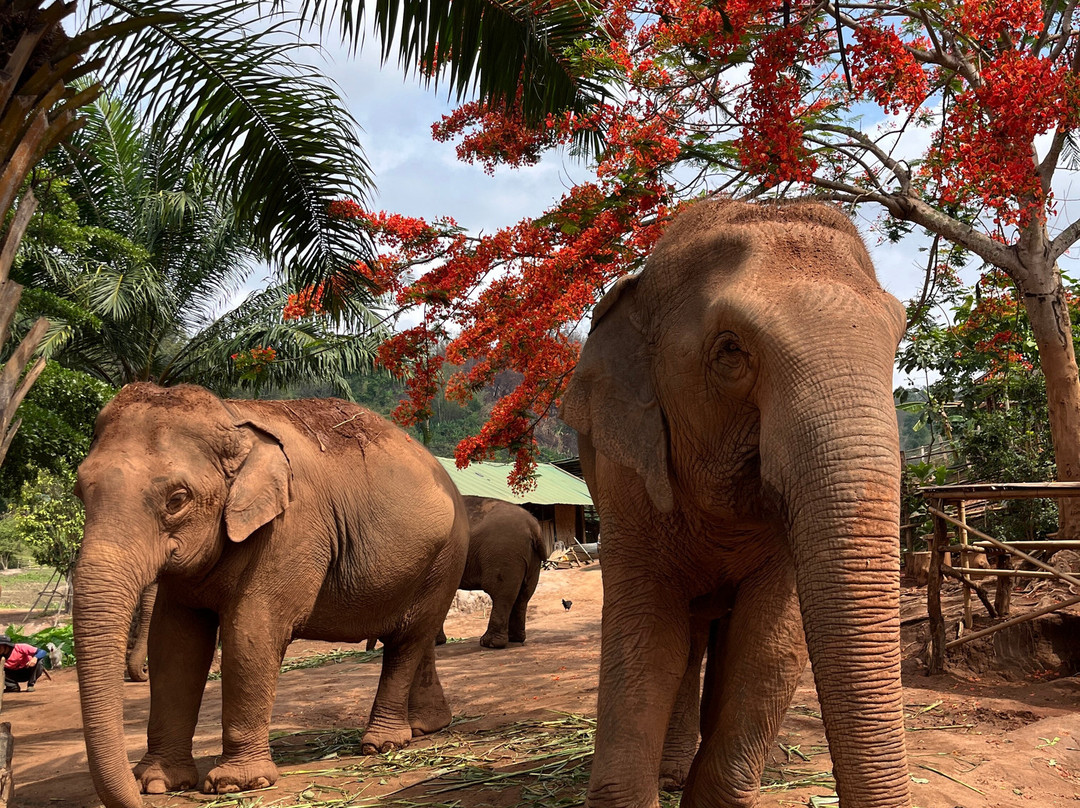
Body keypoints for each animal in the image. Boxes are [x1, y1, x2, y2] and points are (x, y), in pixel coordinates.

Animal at [73, 383, 469, 808]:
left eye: (177, 499)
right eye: (80, 491)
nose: (135, 796)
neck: (232, 418)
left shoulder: (292, 528)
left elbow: (252, 633)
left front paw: (236, 784)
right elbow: (175, 644)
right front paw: (157, 783)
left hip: (446, 555)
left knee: (408, 639)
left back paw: (383, 744)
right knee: (418, 638)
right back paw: (427, 726)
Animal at [435, 496, 554, 648]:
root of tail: (533, 527)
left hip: (504, 553)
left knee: (501, 594)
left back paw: (490, 643)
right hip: (530, 559)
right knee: (523, 595)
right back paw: (515, 639)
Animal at [560, 199, 911, 808]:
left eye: (897, 342)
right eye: (730, 350)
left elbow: (767, 648)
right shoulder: (625, 476)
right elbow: (645, 640)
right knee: (688, 642)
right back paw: (671, 774)